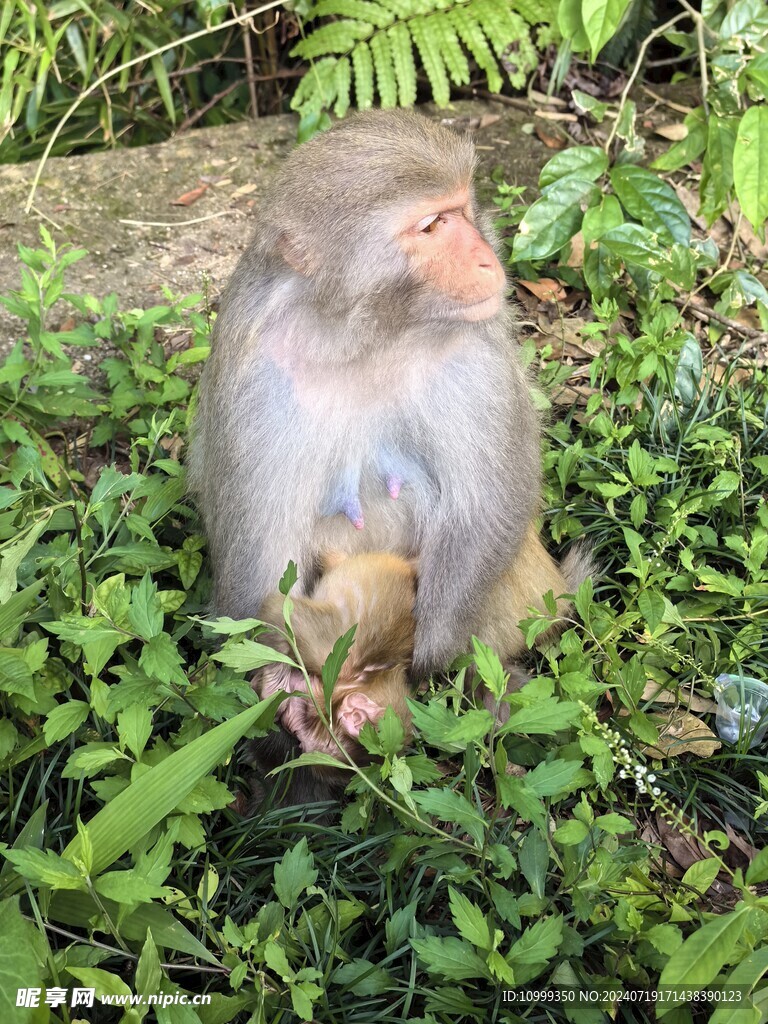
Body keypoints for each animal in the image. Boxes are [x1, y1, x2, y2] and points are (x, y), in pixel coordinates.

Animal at [188, 108, 561, 675]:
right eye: (431, 226)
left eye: (460, 209)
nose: (485, 261)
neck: (361, 336)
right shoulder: (252, 373)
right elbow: (263, 551)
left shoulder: (474, 349)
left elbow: (486, 506)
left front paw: (426, 658)